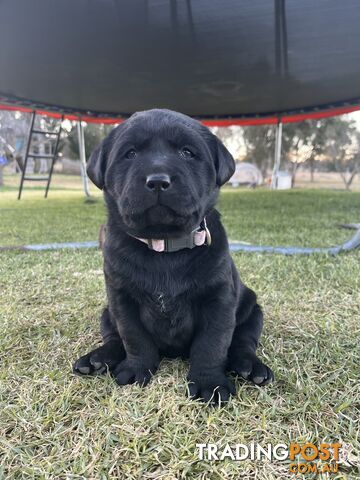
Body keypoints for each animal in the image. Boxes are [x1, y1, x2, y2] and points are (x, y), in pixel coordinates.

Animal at [74, 109, 272, 404]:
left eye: (187, 153)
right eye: (130, 153)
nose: (158, 180)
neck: (165, 247)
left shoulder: (218, 300)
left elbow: (212, 344)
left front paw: (209, 383)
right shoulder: (121, 298)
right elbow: (133, 337)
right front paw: (136, 369)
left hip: (252, 310)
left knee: (243, 342)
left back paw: (250, 367)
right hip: (107, 313)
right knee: (114, 338)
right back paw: (97, 359)